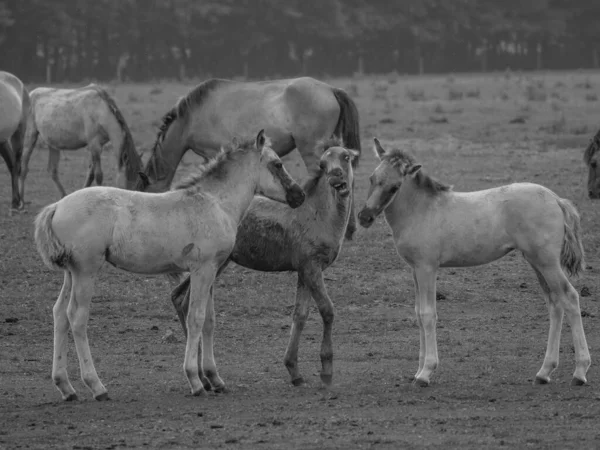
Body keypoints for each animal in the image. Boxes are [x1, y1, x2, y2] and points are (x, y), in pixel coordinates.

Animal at [360, 139, 592, 388]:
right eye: (372, 178)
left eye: (395, 187)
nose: (364, 217)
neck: (421, 211)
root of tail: (557, 200)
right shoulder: (415, 270)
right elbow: (418, 313)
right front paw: (418, 370)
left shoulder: (427, 268)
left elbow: (428, 314)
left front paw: (426, 372)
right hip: (536, 262)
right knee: (555, 303)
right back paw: (544, 371)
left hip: (547, 262)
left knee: (569, 297)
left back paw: (580, 372)